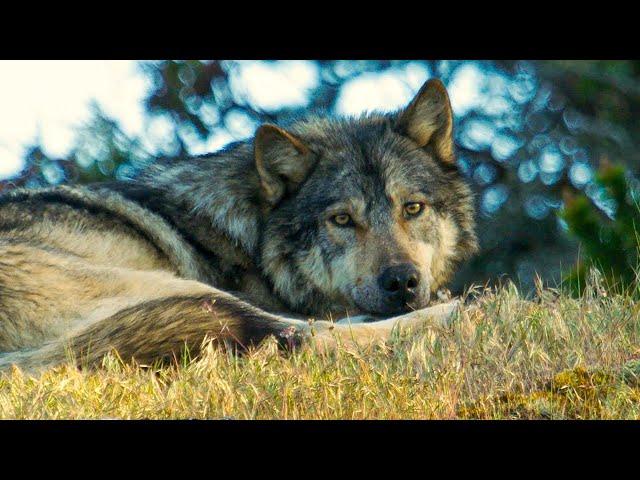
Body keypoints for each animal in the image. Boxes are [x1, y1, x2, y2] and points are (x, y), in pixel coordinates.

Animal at [0, 79, 478, 372]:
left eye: (412, 208)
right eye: (342, 219)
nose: (402, 282)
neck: (253, 237)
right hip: (187, 294)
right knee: (300, 337)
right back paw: (459, 311)